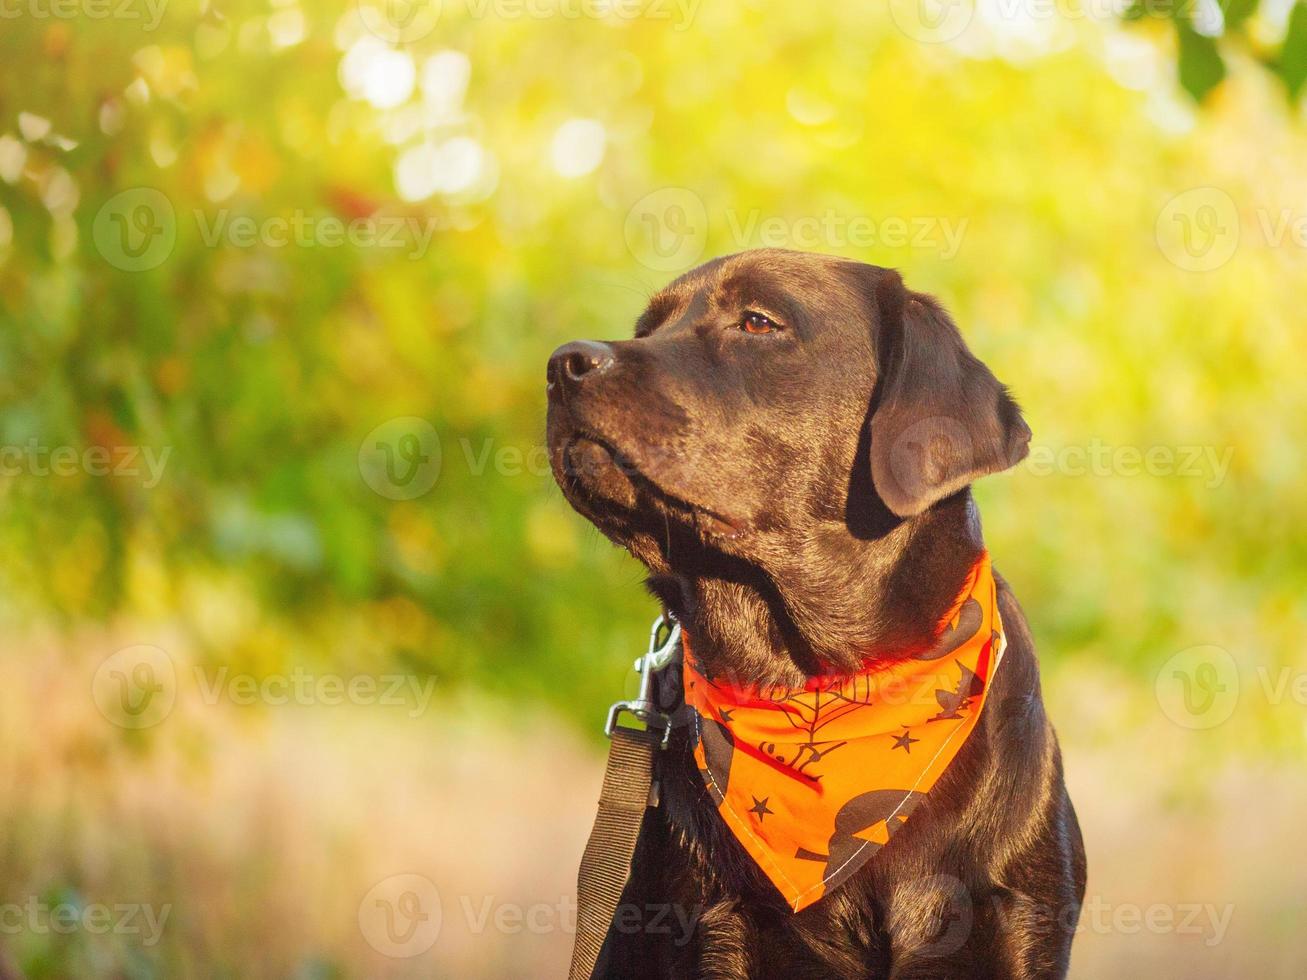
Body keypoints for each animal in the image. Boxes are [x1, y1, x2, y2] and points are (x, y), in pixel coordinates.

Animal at [546, 249, 1087, 977]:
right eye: (646, 327)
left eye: (757, 321)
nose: (562, 364)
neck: (819, 682)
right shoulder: (717, 929)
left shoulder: (1018, 925)